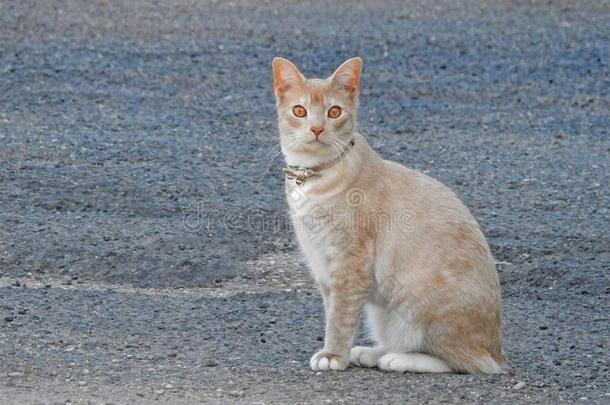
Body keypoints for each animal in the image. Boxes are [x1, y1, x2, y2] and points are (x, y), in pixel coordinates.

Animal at [270, 56, 504, 372]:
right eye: (300, 111)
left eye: (333, 112)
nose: (317, 129)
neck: (314, 175)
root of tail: (497, 350)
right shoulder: (320, 261)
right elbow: (332, 309)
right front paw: (339, 352)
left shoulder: (350, 261)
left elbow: (341, 315)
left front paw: (334, 355)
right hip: (383, 313)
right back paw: (372, 353)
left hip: (417, 305)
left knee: (462, 361)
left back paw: (398, 359)